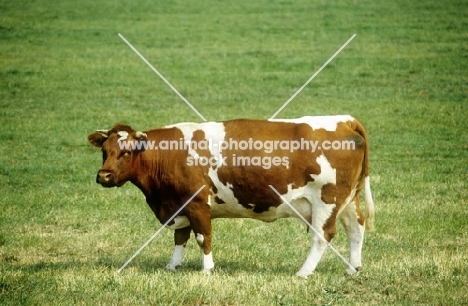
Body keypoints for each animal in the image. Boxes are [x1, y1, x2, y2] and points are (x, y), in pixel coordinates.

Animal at [87, 115, 372, 278]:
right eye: (104, 151)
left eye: (126, 152)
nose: (104, 176)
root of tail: (344, 120)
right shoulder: (179, 205)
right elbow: (180, 237)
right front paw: (172, 266)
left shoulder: (197, 203)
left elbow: (203, 236)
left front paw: (207, 269)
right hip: (347, 201)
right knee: (356, 228)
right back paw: (353, 269)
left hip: (327, 200)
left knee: (322, 236)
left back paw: (303, 272)